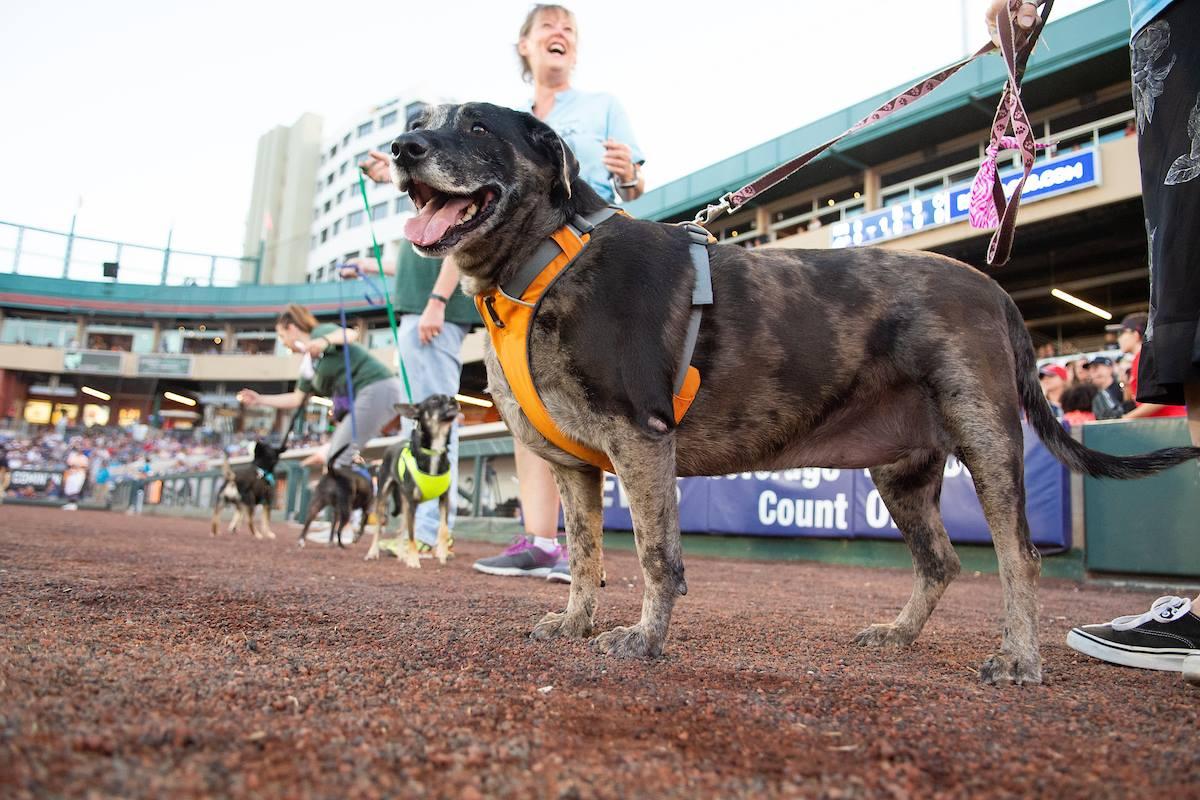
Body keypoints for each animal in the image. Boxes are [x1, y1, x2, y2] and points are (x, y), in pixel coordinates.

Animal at [391, 103, 1200, 686]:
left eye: (476, 127)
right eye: (424, 118)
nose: (402, 147)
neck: (548, 256)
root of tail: (996, 289)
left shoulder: (641, 440)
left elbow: (656, 555)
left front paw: (645, 640)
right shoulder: (575, 467)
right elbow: (587, 553)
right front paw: (575, 622)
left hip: (989, 443)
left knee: (1018, 558)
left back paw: (1021, 660)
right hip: (901, 474)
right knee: (941, 562)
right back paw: (900, 635)